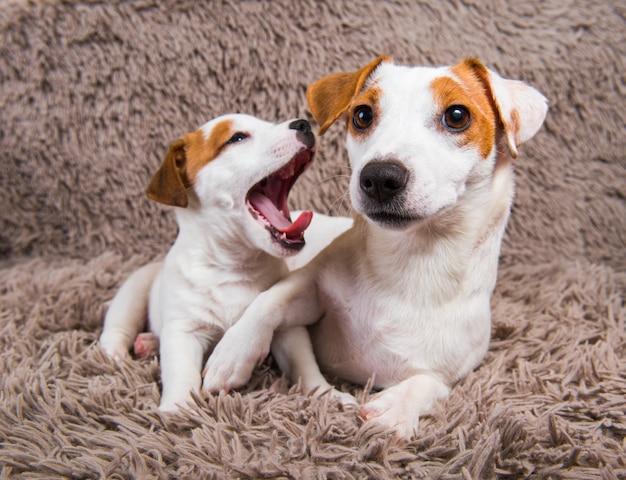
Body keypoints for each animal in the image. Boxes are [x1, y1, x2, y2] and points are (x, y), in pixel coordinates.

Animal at [102, 114, 320, 410]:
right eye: (237, 138)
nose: (304, 124)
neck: (236, 264)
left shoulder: (288, 330)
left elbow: (304, 365)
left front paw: (330, 395)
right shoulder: (183, 331)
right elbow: (181, 371)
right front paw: (178, 408)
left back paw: (147, 342)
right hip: (133, 290)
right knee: (116, 328)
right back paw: (118, 355)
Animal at [201, 57, 544, 438]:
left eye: (457, 115)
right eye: (362, 115)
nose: (380, 176)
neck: (407, 263)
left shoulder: (450, 374)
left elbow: (426, 384)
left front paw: (393, 411)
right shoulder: (311, 285)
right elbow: (271, 300)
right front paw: (233, 352)